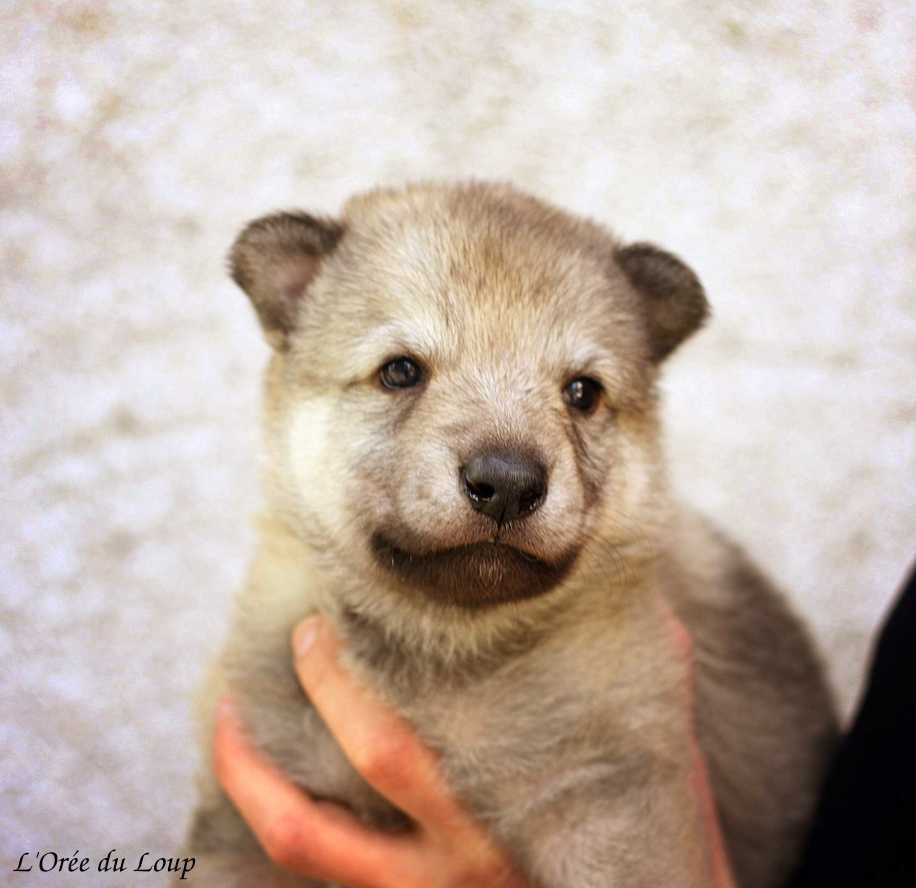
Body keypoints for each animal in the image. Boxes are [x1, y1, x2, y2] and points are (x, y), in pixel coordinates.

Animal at [182, 184, 840, 884]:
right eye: (400, 372)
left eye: (582, 392)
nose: (506, 483)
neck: (447, 649)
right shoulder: (249, 827)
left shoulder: (612, 804)